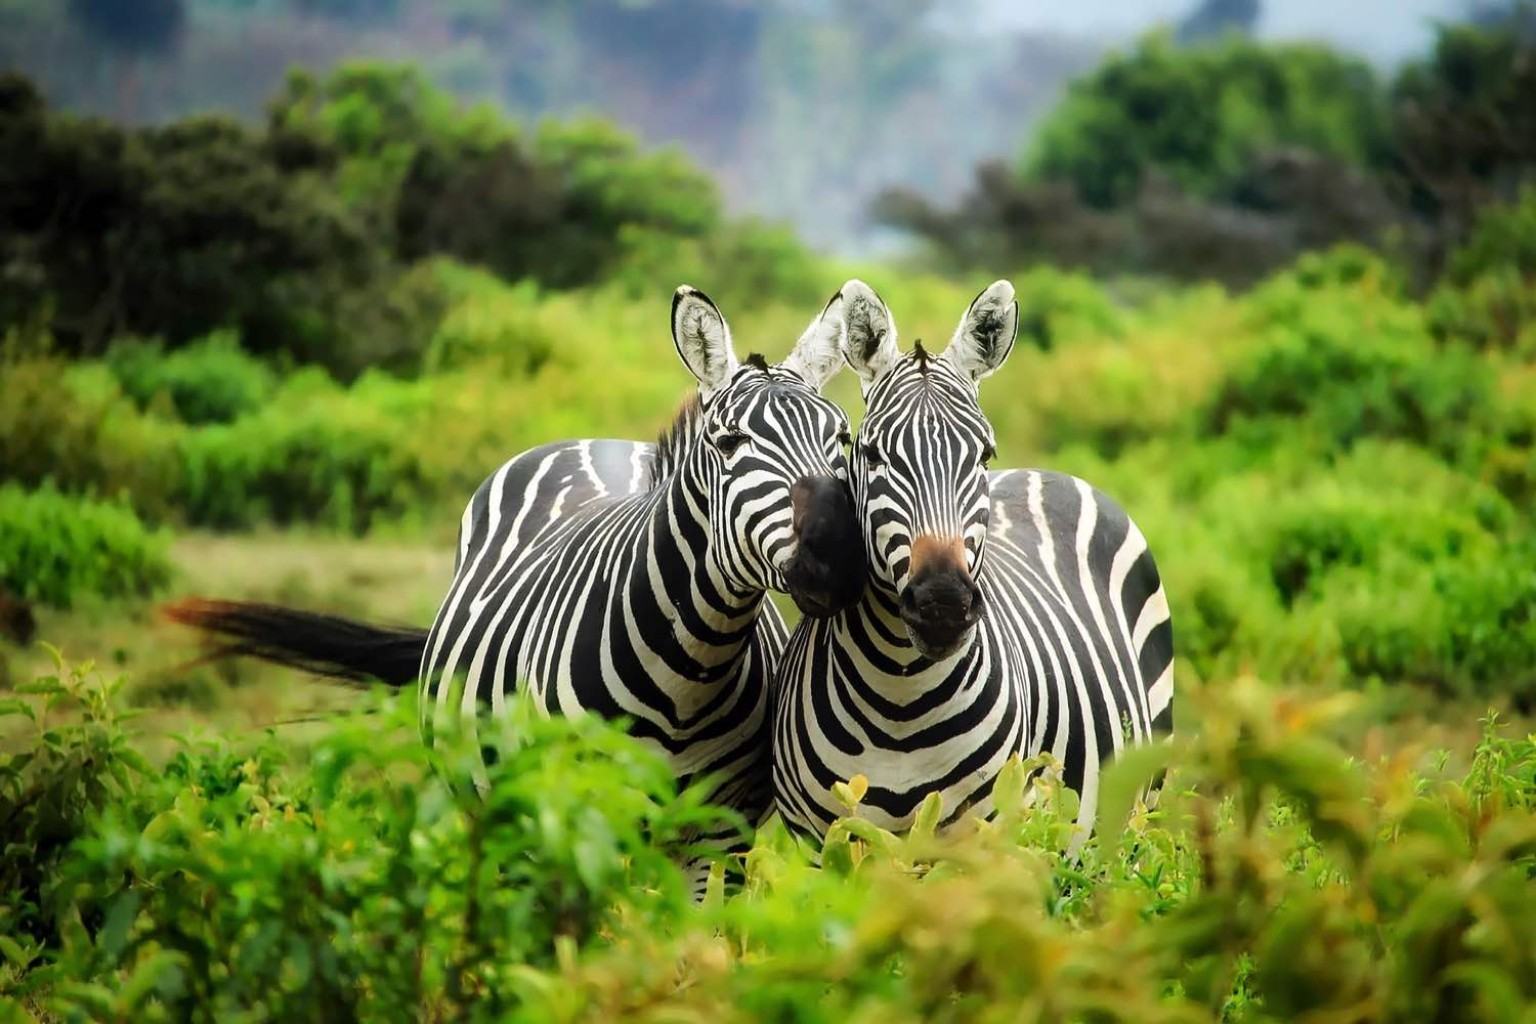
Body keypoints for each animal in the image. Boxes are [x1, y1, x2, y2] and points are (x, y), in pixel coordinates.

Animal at [170, 285, 866, 860]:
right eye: (728, 444)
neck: (689, 674)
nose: (837, 558)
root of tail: (596, 442)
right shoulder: (575, 818)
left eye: (842, 440)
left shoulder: (720, 836)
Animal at [771, 279, 1174, 843]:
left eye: (984, 455)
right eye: (871, 454)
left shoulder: (986, 837)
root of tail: (1046, 472)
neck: (899, 700)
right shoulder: (821, 842)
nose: (943, 604)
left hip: (1138, 809)